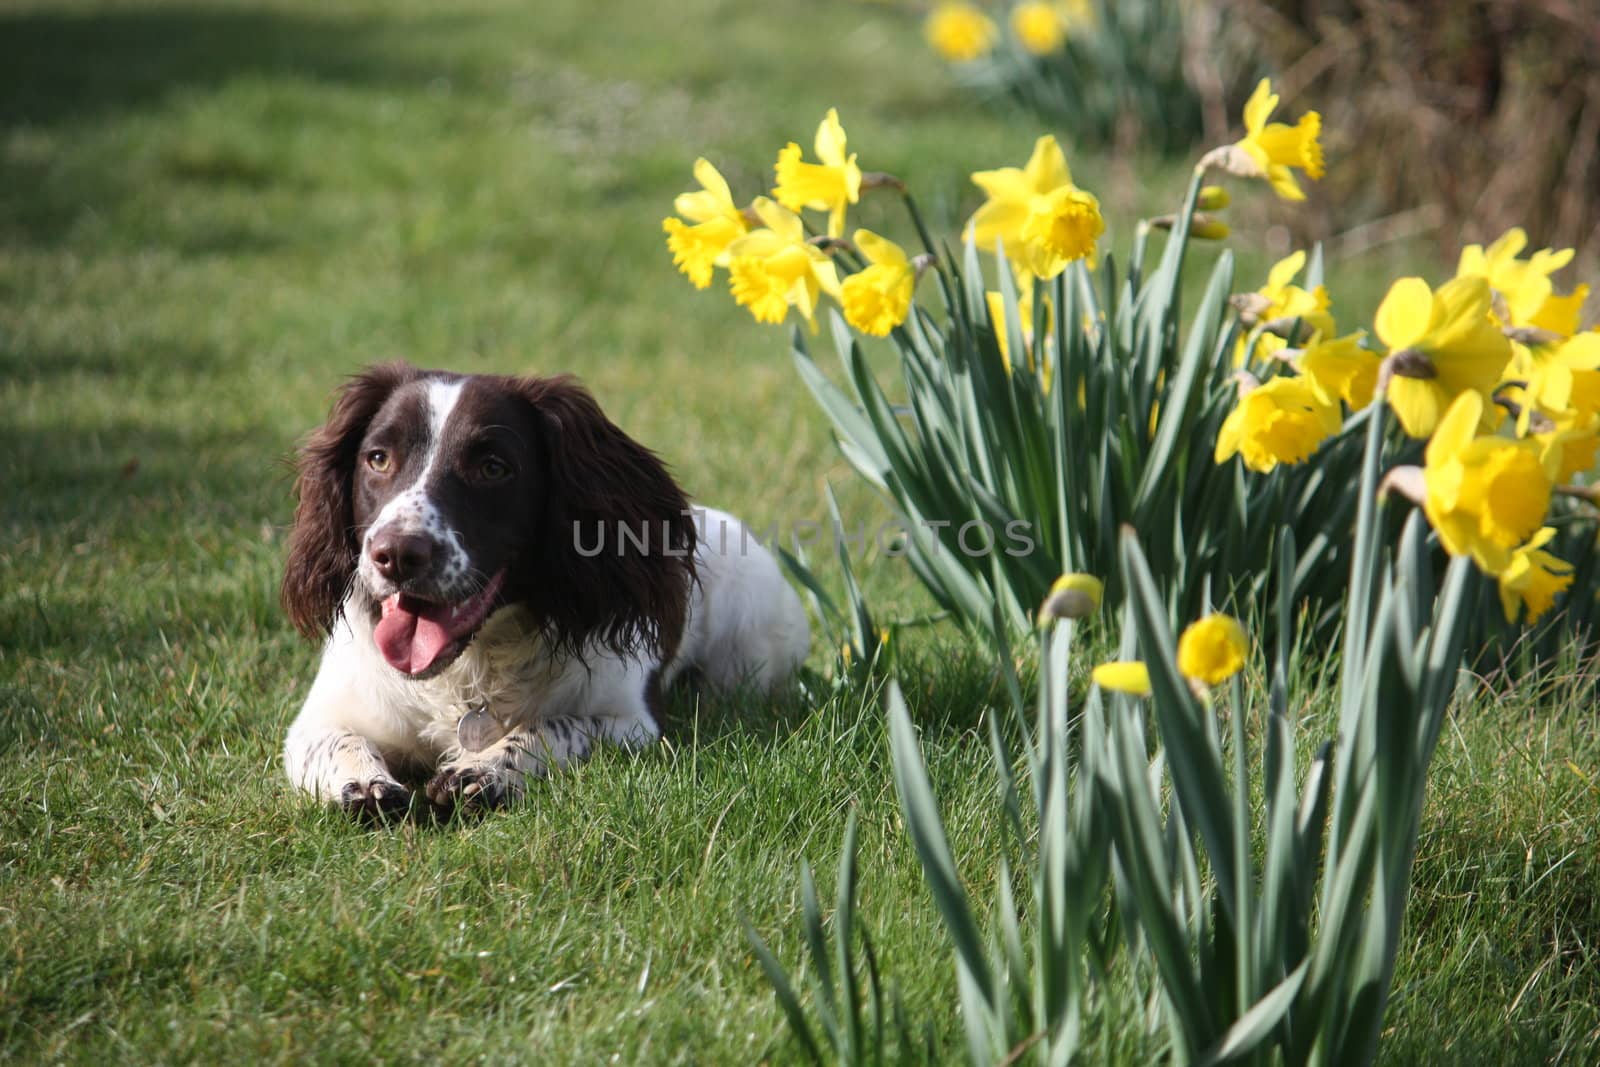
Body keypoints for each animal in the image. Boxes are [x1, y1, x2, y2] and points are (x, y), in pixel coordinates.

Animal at [278, 361, 812, 819]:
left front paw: (484, 769)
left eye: (493, 468)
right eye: (378, 459)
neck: (471, 670)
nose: (396, 554)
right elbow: (338, 741)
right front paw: (364, 784)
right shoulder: (321, 717)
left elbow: (555, 725)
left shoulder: (633, 722)